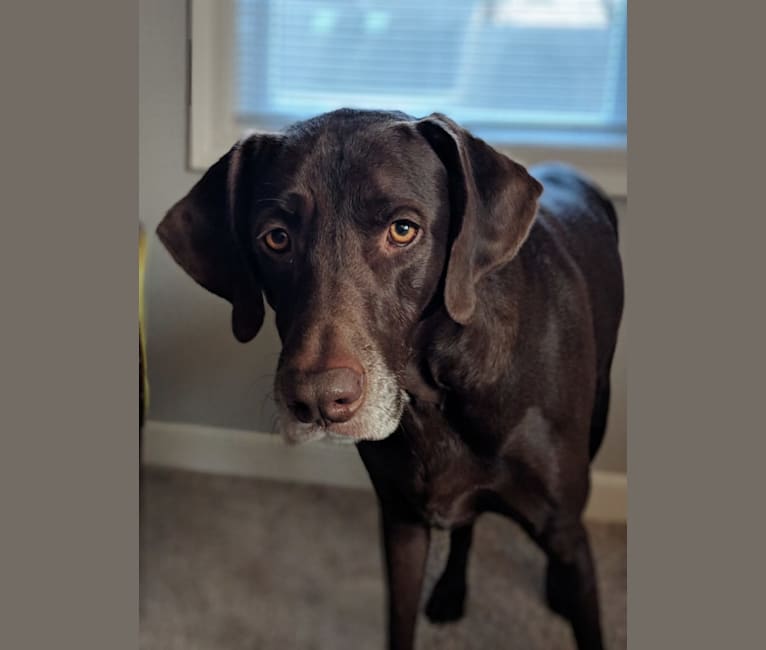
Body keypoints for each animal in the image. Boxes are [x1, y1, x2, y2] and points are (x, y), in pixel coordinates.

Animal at [156, 109, 624, 644]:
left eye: (403, 230)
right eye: (275, 237)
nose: (317, 402)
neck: (437, 393)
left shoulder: (565, 530)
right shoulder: (401, 523)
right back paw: (451, 590)